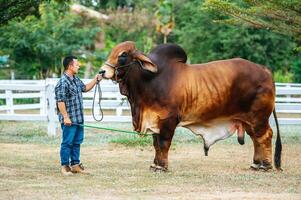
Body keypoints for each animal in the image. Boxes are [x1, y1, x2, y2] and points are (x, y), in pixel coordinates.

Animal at [101, 41, 282, 172]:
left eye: (123, 55)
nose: (102, 71)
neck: (150, 79)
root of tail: (264, 70)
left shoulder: (168, 120)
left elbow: (163, 143)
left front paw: (162, 167)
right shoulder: (155, 121)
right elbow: (156, 144)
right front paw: (155, 164)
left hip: (258, 117)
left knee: (265, 136)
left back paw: (265, 165)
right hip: (248, 119)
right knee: (256, 139)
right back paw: (256, 164)